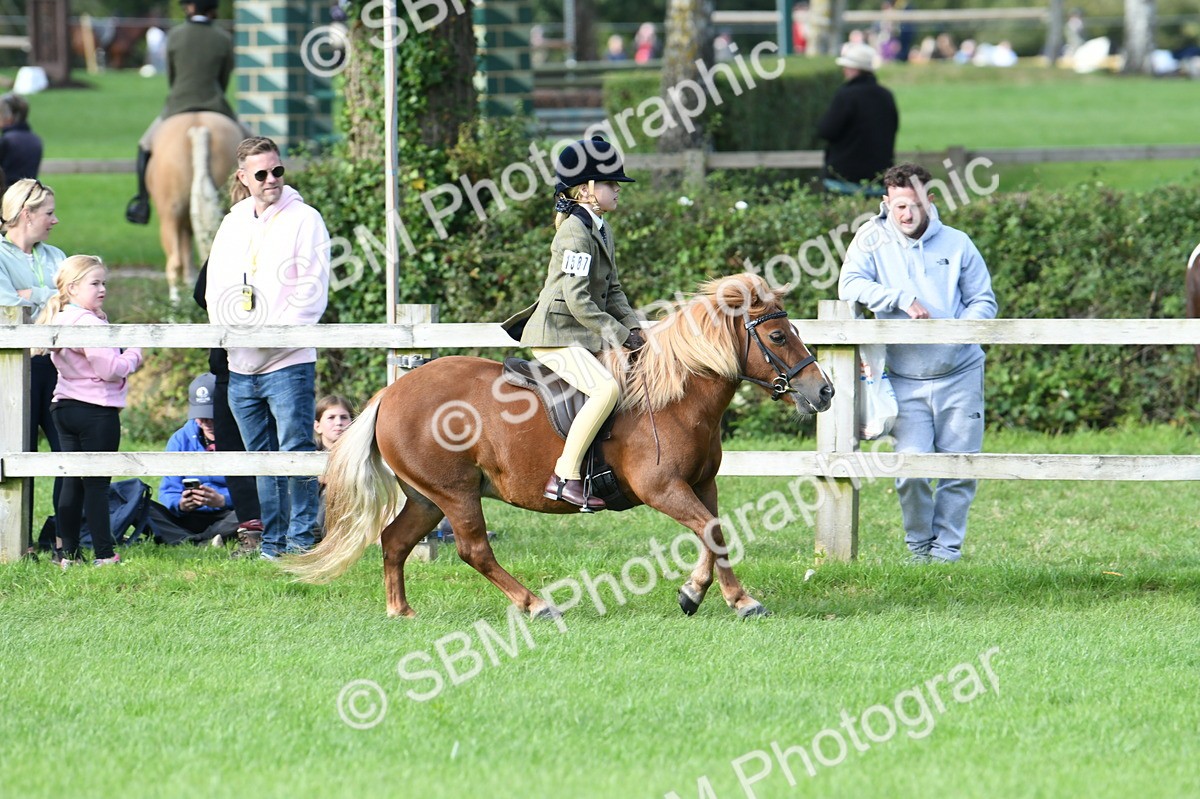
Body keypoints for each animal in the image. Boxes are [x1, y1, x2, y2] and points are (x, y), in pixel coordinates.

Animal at [284, 274, 835, 620]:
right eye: (778, 336)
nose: (825, 391)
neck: (677, 394)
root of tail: (391, 392)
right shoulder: (662, 488)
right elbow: (711, 532)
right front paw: (730, 599)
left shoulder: (702, 484)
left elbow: (714, 533)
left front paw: (703, 594)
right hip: (455, 494)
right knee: (473, 549)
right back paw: (536, 604)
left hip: (426, 497)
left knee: (395, 541)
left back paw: (400, 610)